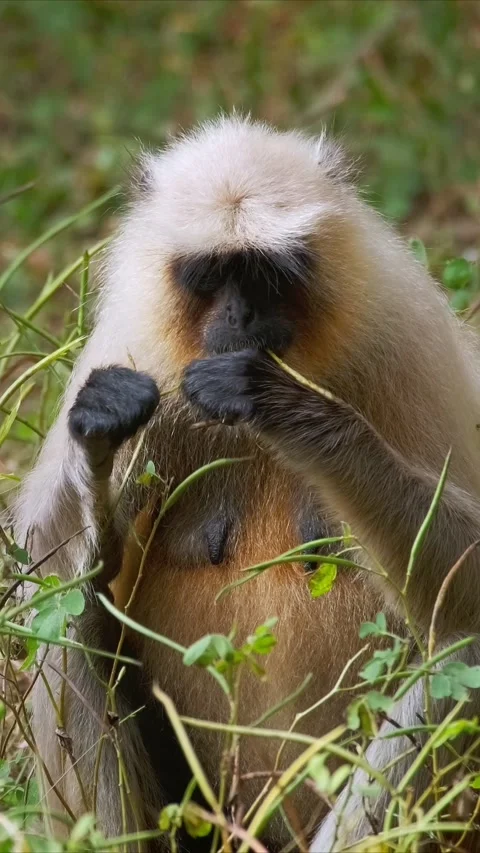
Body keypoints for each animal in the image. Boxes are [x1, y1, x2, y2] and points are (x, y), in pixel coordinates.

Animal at [13, 115, 480, 851]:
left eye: (263, 274)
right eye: (211, 275)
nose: (242, 320)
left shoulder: (404, 341)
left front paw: (284, 407)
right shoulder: (134, 347)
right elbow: (42, 549)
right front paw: (99, 451)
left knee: (462, 647)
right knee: (65, 615)